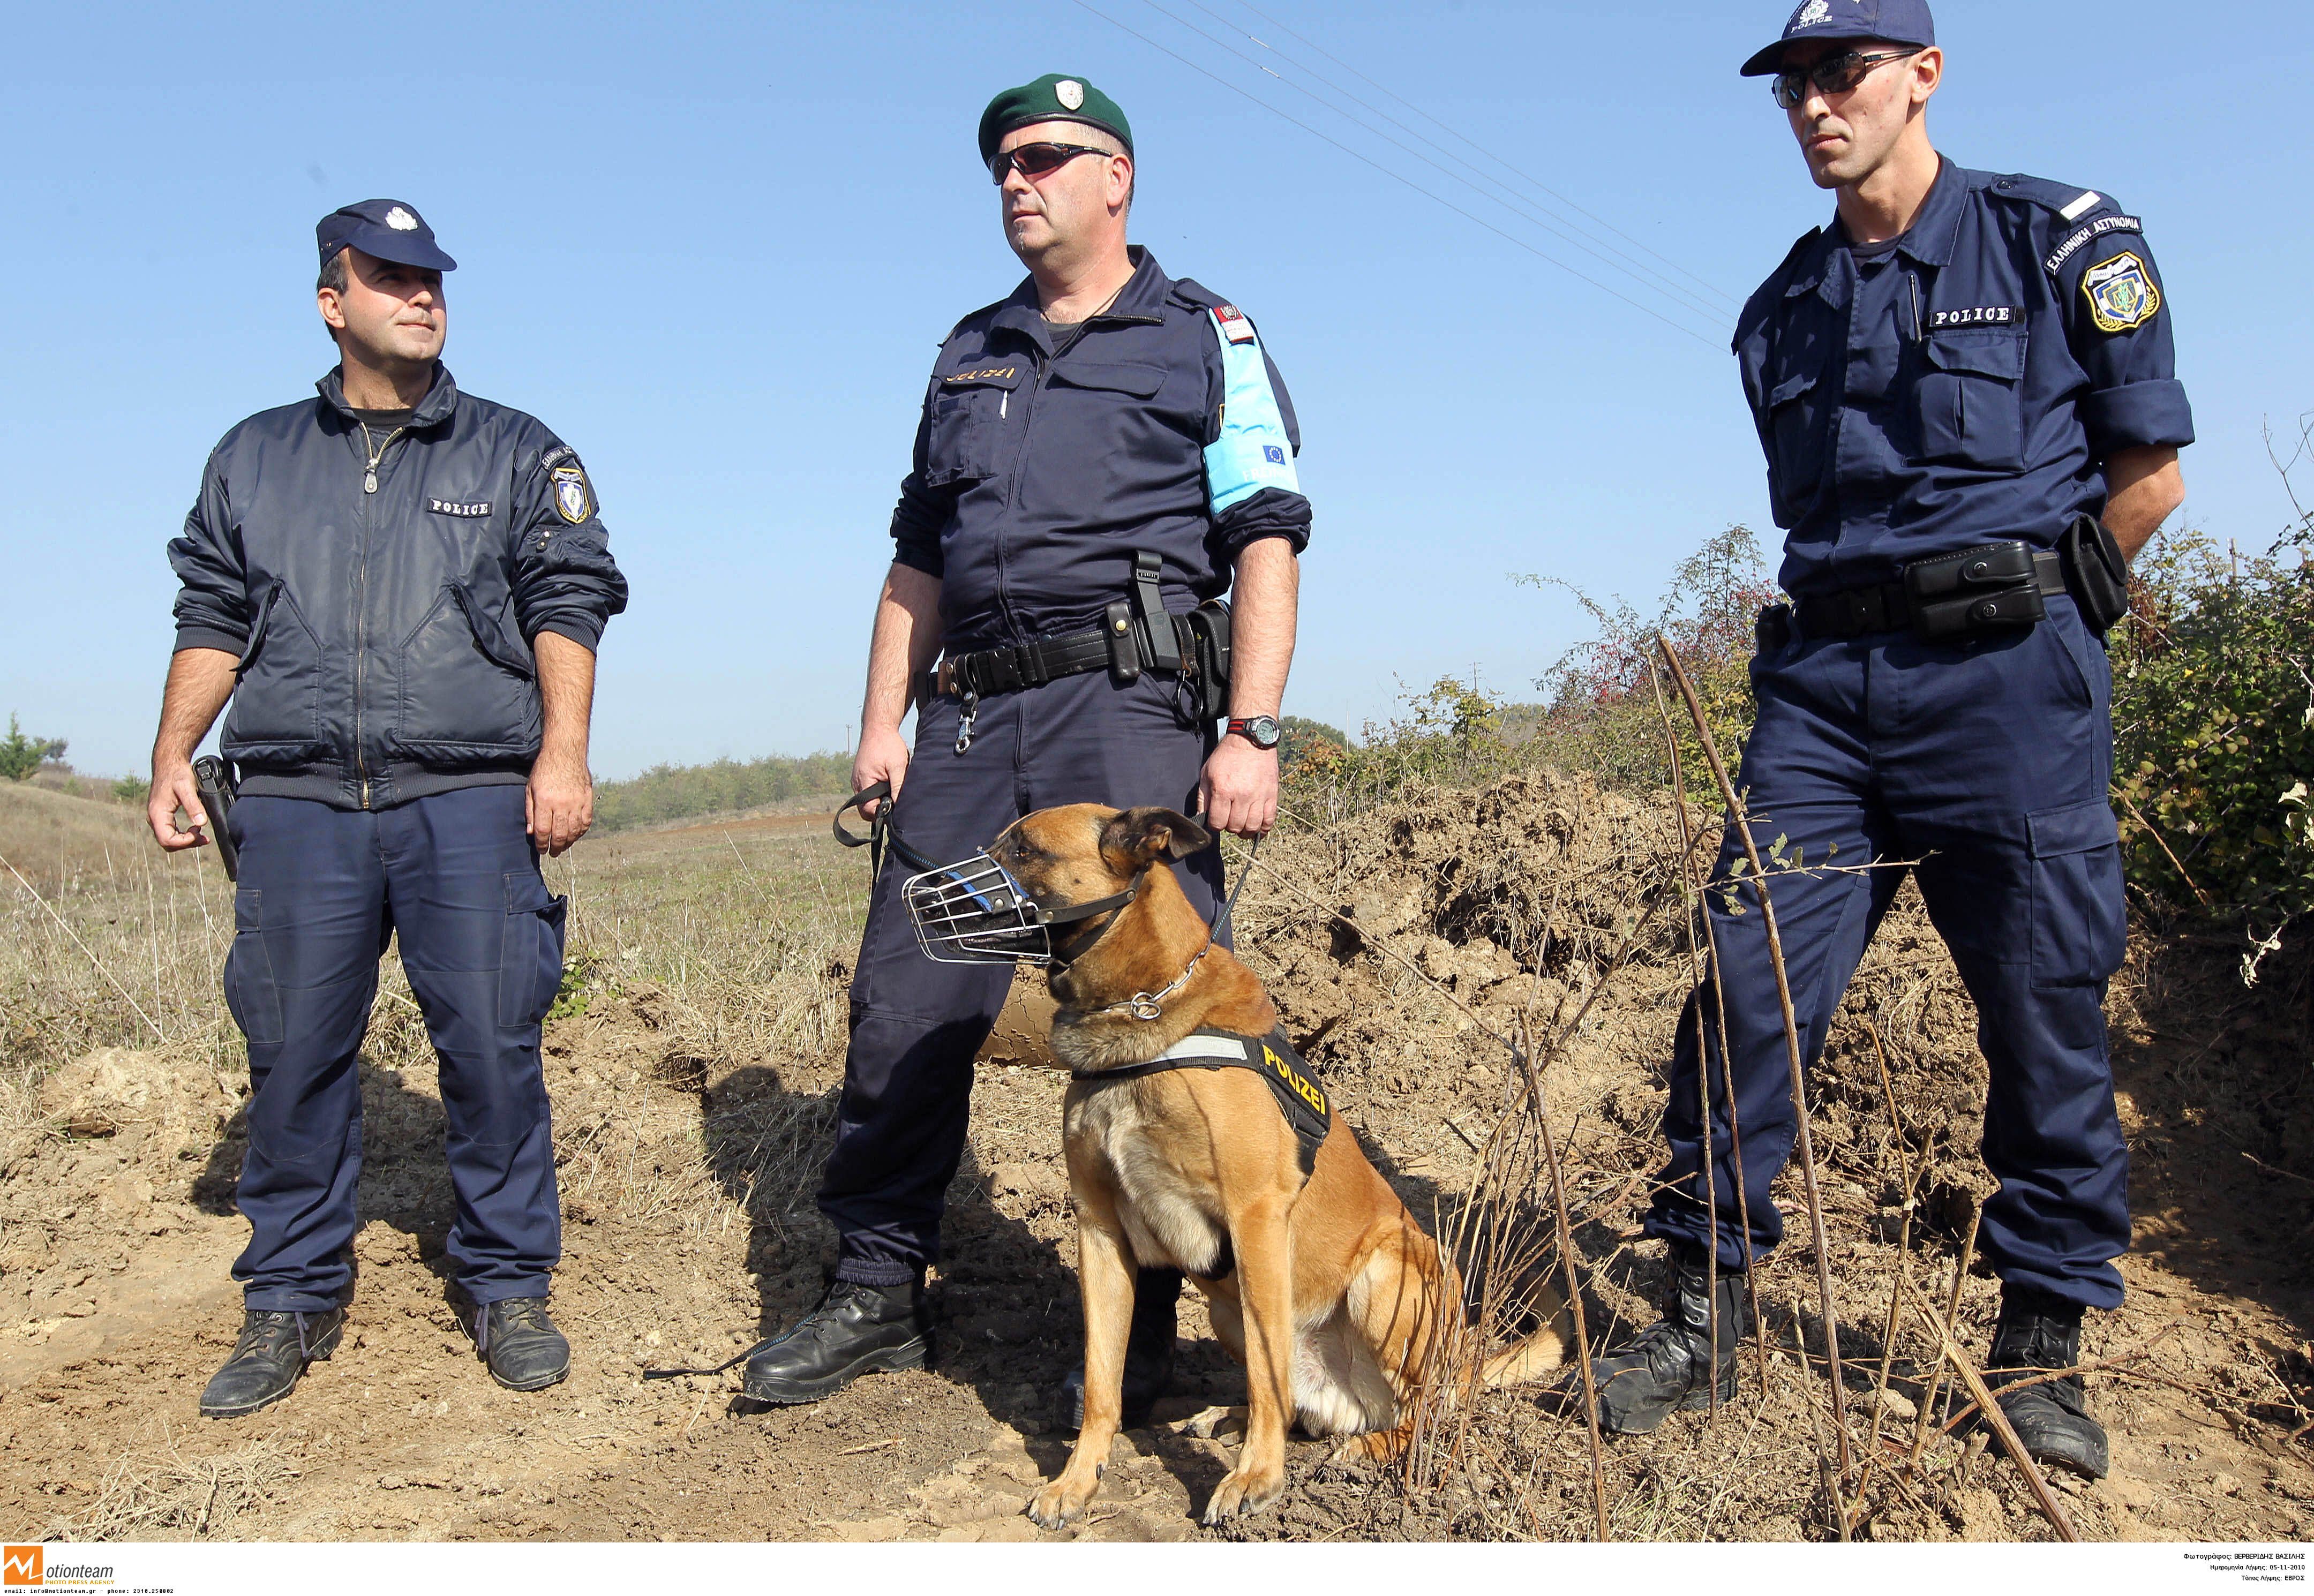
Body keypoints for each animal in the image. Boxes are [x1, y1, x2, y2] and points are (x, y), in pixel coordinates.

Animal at [921, 800, 1573, 1526]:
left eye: (1025, 850)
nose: (922, 885)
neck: (1147, 1009)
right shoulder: (1099, 1232)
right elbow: (1101, 1380)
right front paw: (1077, 1480)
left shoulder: (1254, 1218)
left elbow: (1266, 1374)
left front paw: (1257, 1478)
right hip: (1228, 1313)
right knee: (1298, 1402)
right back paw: (1234, 1418)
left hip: (1383, 1274)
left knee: (1416, 1410)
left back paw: (1370, 1447)